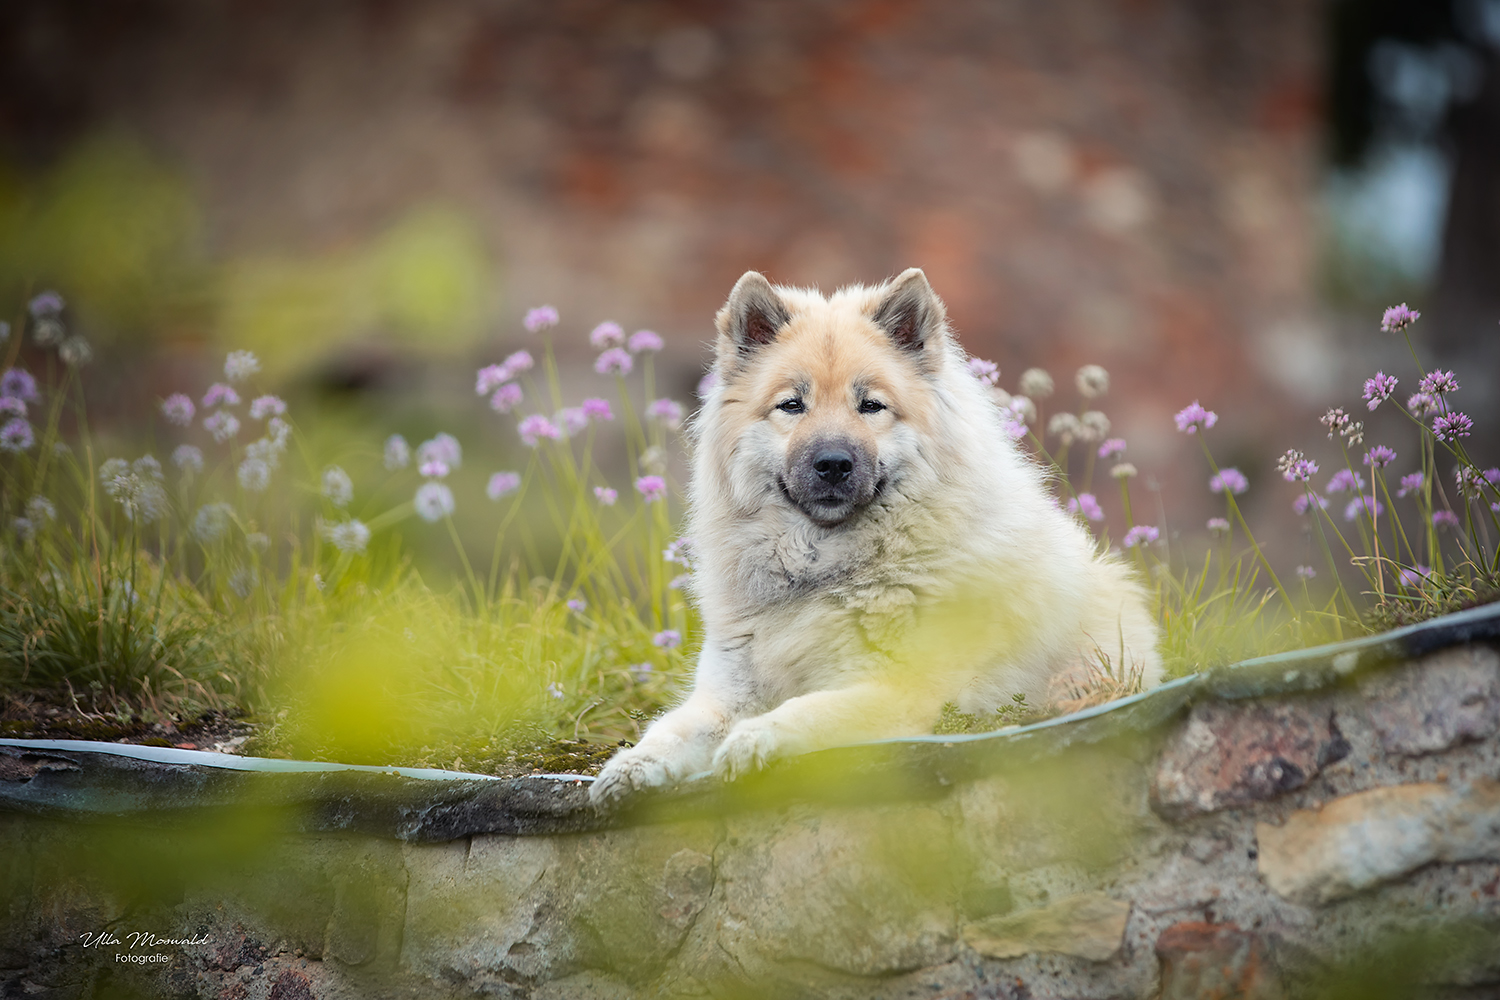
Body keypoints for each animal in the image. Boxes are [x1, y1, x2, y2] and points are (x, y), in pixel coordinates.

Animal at [588, 265, 1158, 803]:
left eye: (871, 406)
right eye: (792, 405)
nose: (833, 463)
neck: (824, 574)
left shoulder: (901, 691)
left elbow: (811, 709)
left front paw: (755, 740)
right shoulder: (726, 692)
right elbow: (672, 729)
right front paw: (629, 768)